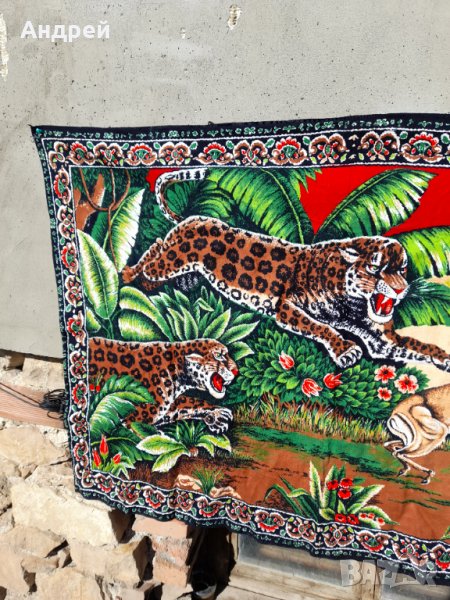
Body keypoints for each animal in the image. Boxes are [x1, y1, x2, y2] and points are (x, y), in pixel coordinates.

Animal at [88, 336, 238, 434]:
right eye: (219, 355)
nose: (237, 371)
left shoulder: (165, 406)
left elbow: (187, 403)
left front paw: (218, 414)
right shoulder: (133, 416)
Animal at [122, 169, 450, 373]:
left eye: (403, 268)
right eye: (375, 267)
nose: (400, 289)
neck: (353, 303)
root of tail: (193, 217)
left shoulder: (382, 340)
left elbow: (418, 345)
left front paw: (444, 358)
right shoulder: (286, 306)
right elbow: (321, 327)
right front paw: (345, 349)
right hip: (170, 260)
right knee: (152, 255)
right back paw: (125, 275)